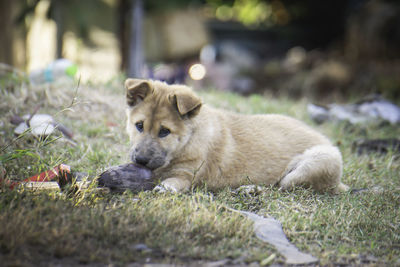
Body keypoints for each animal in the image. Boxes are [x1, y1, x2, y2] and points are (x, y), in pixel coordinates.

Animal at [124, 78, 346, 194]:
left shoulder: (186, 176)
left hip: (315, 163)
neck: (190, 139)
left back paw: (250, 189)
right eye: (139, 126)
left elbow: (174, 181)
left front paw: (164, 187)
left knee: (281, 187)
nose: (141, 160)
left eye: (165, 131)